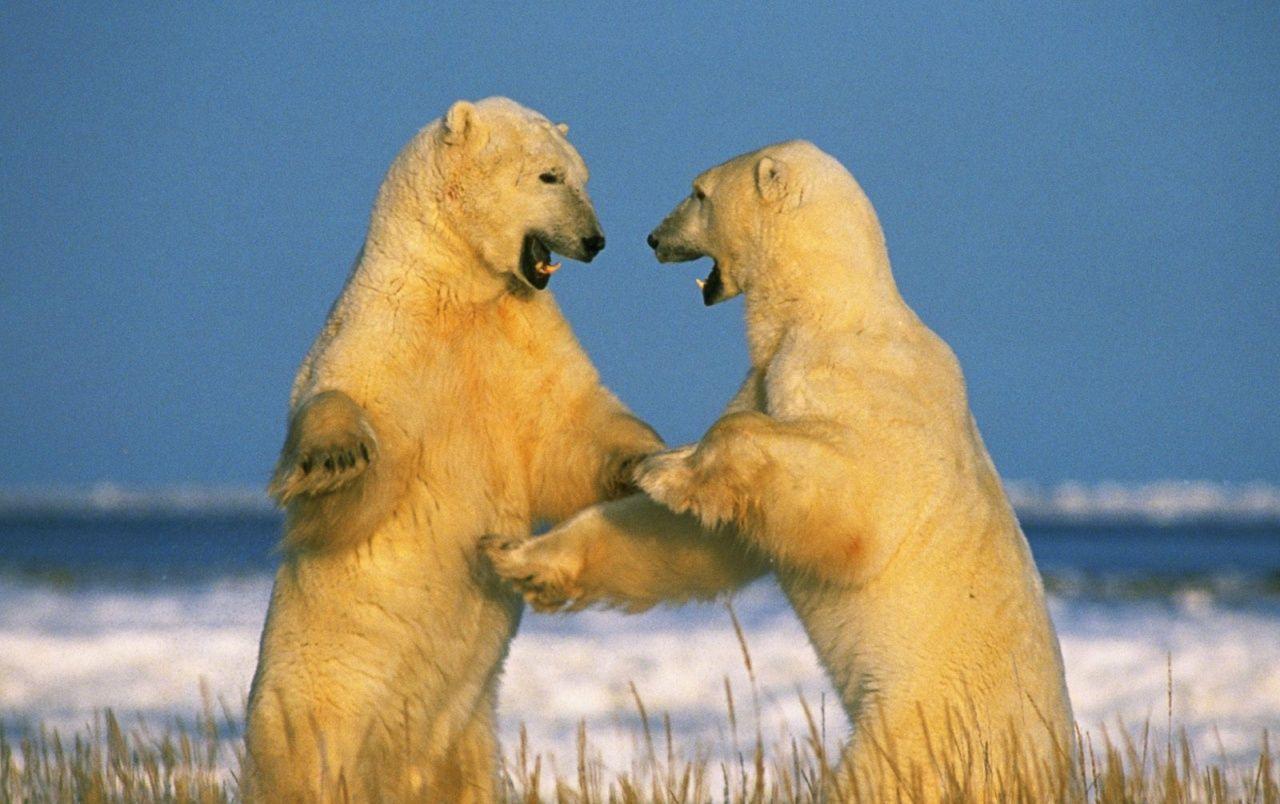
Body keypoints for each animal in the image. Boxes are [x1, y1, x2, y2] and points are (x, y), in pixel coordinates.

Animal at [243, 97, 662, 802]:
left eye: (583, 176)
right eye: (549, 176)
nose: (596, 241)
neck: (457, 285)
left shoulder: (520, 333)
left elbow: (570, 425)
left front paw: (648, 460)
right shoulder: (385, 333)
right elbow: (351, 448)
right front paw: (334, 456)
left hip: (468, 731)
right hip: (312, 715)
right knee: (307, 768)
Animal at [486, 140, 1076, 799]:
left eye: (698, 192)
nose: (652, 237)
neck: (827, 309)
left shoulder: (850, 382)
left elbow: (856, 504)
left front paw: (667, 469)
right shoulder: (767, 380)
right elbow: (699, 536)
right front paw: (520, 555)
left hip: (925, 725)